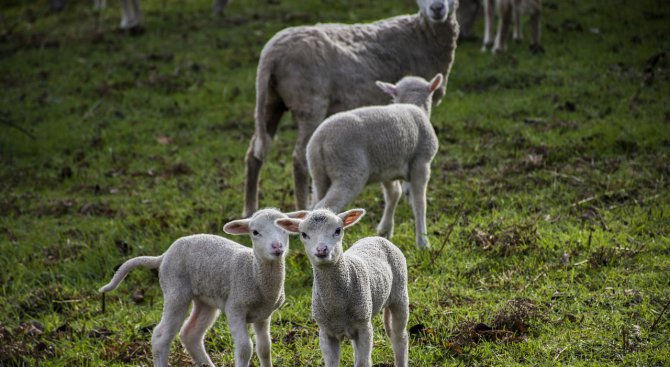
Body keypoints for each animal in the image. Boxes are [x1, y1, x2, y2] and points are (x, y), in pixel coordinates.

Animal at [98, 208, 308, 367]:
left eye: (285, 230)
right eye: (255, 232)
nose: (277, 247)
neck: (254, 272)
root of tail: (164, 255)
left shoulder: (264, 314)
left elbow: (264, 348)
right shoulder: (235, 307)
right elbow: (244, 348)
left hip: (206, 299)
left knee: (190, 334)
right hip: (175, 289)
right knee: (160, 336)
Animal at [243, 0, 462, 218]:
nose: (437, 8)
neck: (422, 34)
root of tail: (271, 54)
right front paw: (409, 193)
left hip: (271, 101)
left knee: (255, 152)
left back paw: (250, 209)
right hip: (310, 103)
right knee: (299, 159)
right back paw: (300, 205)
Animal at [276, 210, 412, 367]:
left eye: (338, 230)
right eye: (303, 234)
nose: (322, 250)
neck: (337, 307)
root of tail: (376, 238)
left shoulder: (364, 327)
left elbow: (363, 362)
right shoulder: (325, 332)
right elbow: (334, 363)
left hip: (399, 294)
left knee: (399, 337)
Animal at [308, 73, 444, 249]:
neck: (414, 105)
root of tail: (320, 139)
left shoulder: (387, 168)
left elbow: (394, 195)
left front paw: (385, 231)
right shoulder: (421, 163)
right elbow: (420, 203)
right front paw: (423, 242)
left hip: (318, 173)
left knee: (312, 205)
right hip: (349, 170)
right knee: (323, 207)